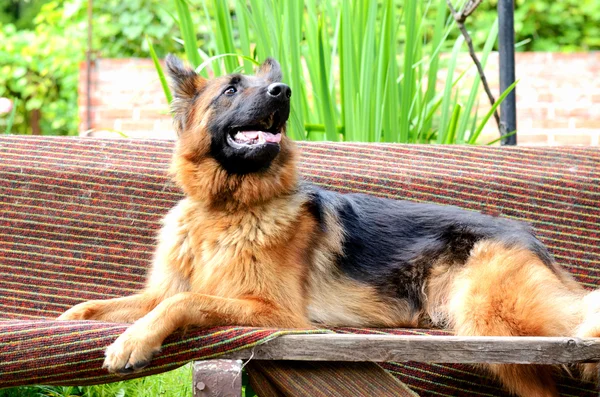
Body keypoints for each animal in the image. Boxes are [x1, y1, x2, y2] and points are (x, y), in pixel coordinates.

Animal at [59, 56, 600, 396]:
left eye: (261, 86)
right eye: (231, 89)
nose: (282, 91)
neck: (226, 209)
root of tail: (531, 237)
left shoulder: (272, 311)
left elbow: (182, 302)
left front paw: (132, 341)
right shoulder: (160, 290)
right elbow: (103, 305)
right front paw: (68, 322)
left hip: (492, 318)